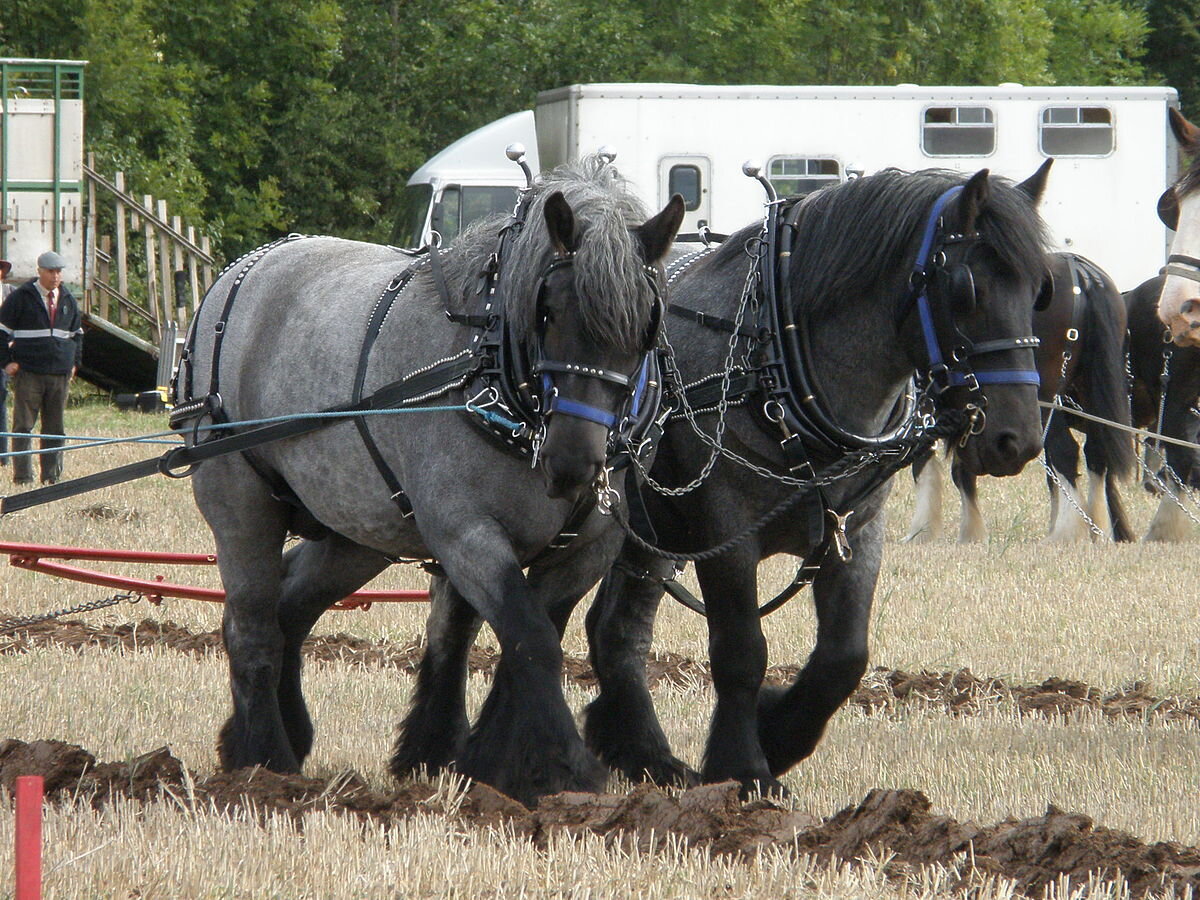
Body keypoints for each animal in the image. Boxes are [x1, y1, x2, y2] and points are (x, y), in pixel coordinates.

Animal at [182, 158, 681, 806]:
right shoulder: (465, 535)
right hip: (240, 502)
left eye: (646, 324)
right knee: (252, 627)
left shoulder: (587, 548)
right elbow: (531, 640)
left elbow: (530, 641)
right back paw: (266, 762)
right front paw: (571, 769)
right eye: (547, 310)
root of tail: (239, 272)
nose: (574, 464)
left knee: (291, 607)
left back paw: (277, 735)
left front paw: (496, 763)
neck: (493, 371)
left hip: (358, 532)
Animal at [583, 164, 1060, 796]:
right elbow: (741, 651)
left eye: (1041, 291)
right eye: (965, 289)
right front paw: (745, 768)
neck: (776, 363)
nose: (1019, 440)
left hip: (649, 534)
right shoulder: (725, 533)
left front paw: (777, 732)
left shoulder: (853, 530)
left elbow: (844, 657)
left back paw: (643, 755)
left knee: (617, 627)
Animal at [902, 250, 1137, 542]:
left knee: (1065, 452)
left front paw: (926, 530)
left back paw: (1066, 531)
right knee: (1095, 453)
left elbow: (930, 462)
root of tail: (1083, 274)